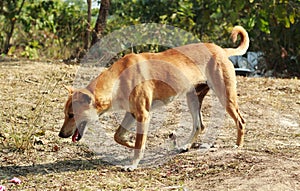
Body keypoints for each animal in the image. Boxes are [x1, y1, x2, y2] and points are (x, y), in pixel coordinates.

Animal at [58, 26, 248, 171]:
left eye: (72, 115)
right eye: (66, 114)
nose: (60, 135)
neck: (118, 80)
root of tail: (220, 49)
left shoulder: (143, 115)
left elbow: (138, 143)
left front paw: (133, 164)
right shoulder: (131, 113)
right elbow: (118, 136)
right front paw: (129, 143)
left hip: (225, 96)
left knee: (240, 121)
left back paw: (238, 146)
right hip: (192, 98)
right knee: (199, 125)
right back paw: (185, 146)